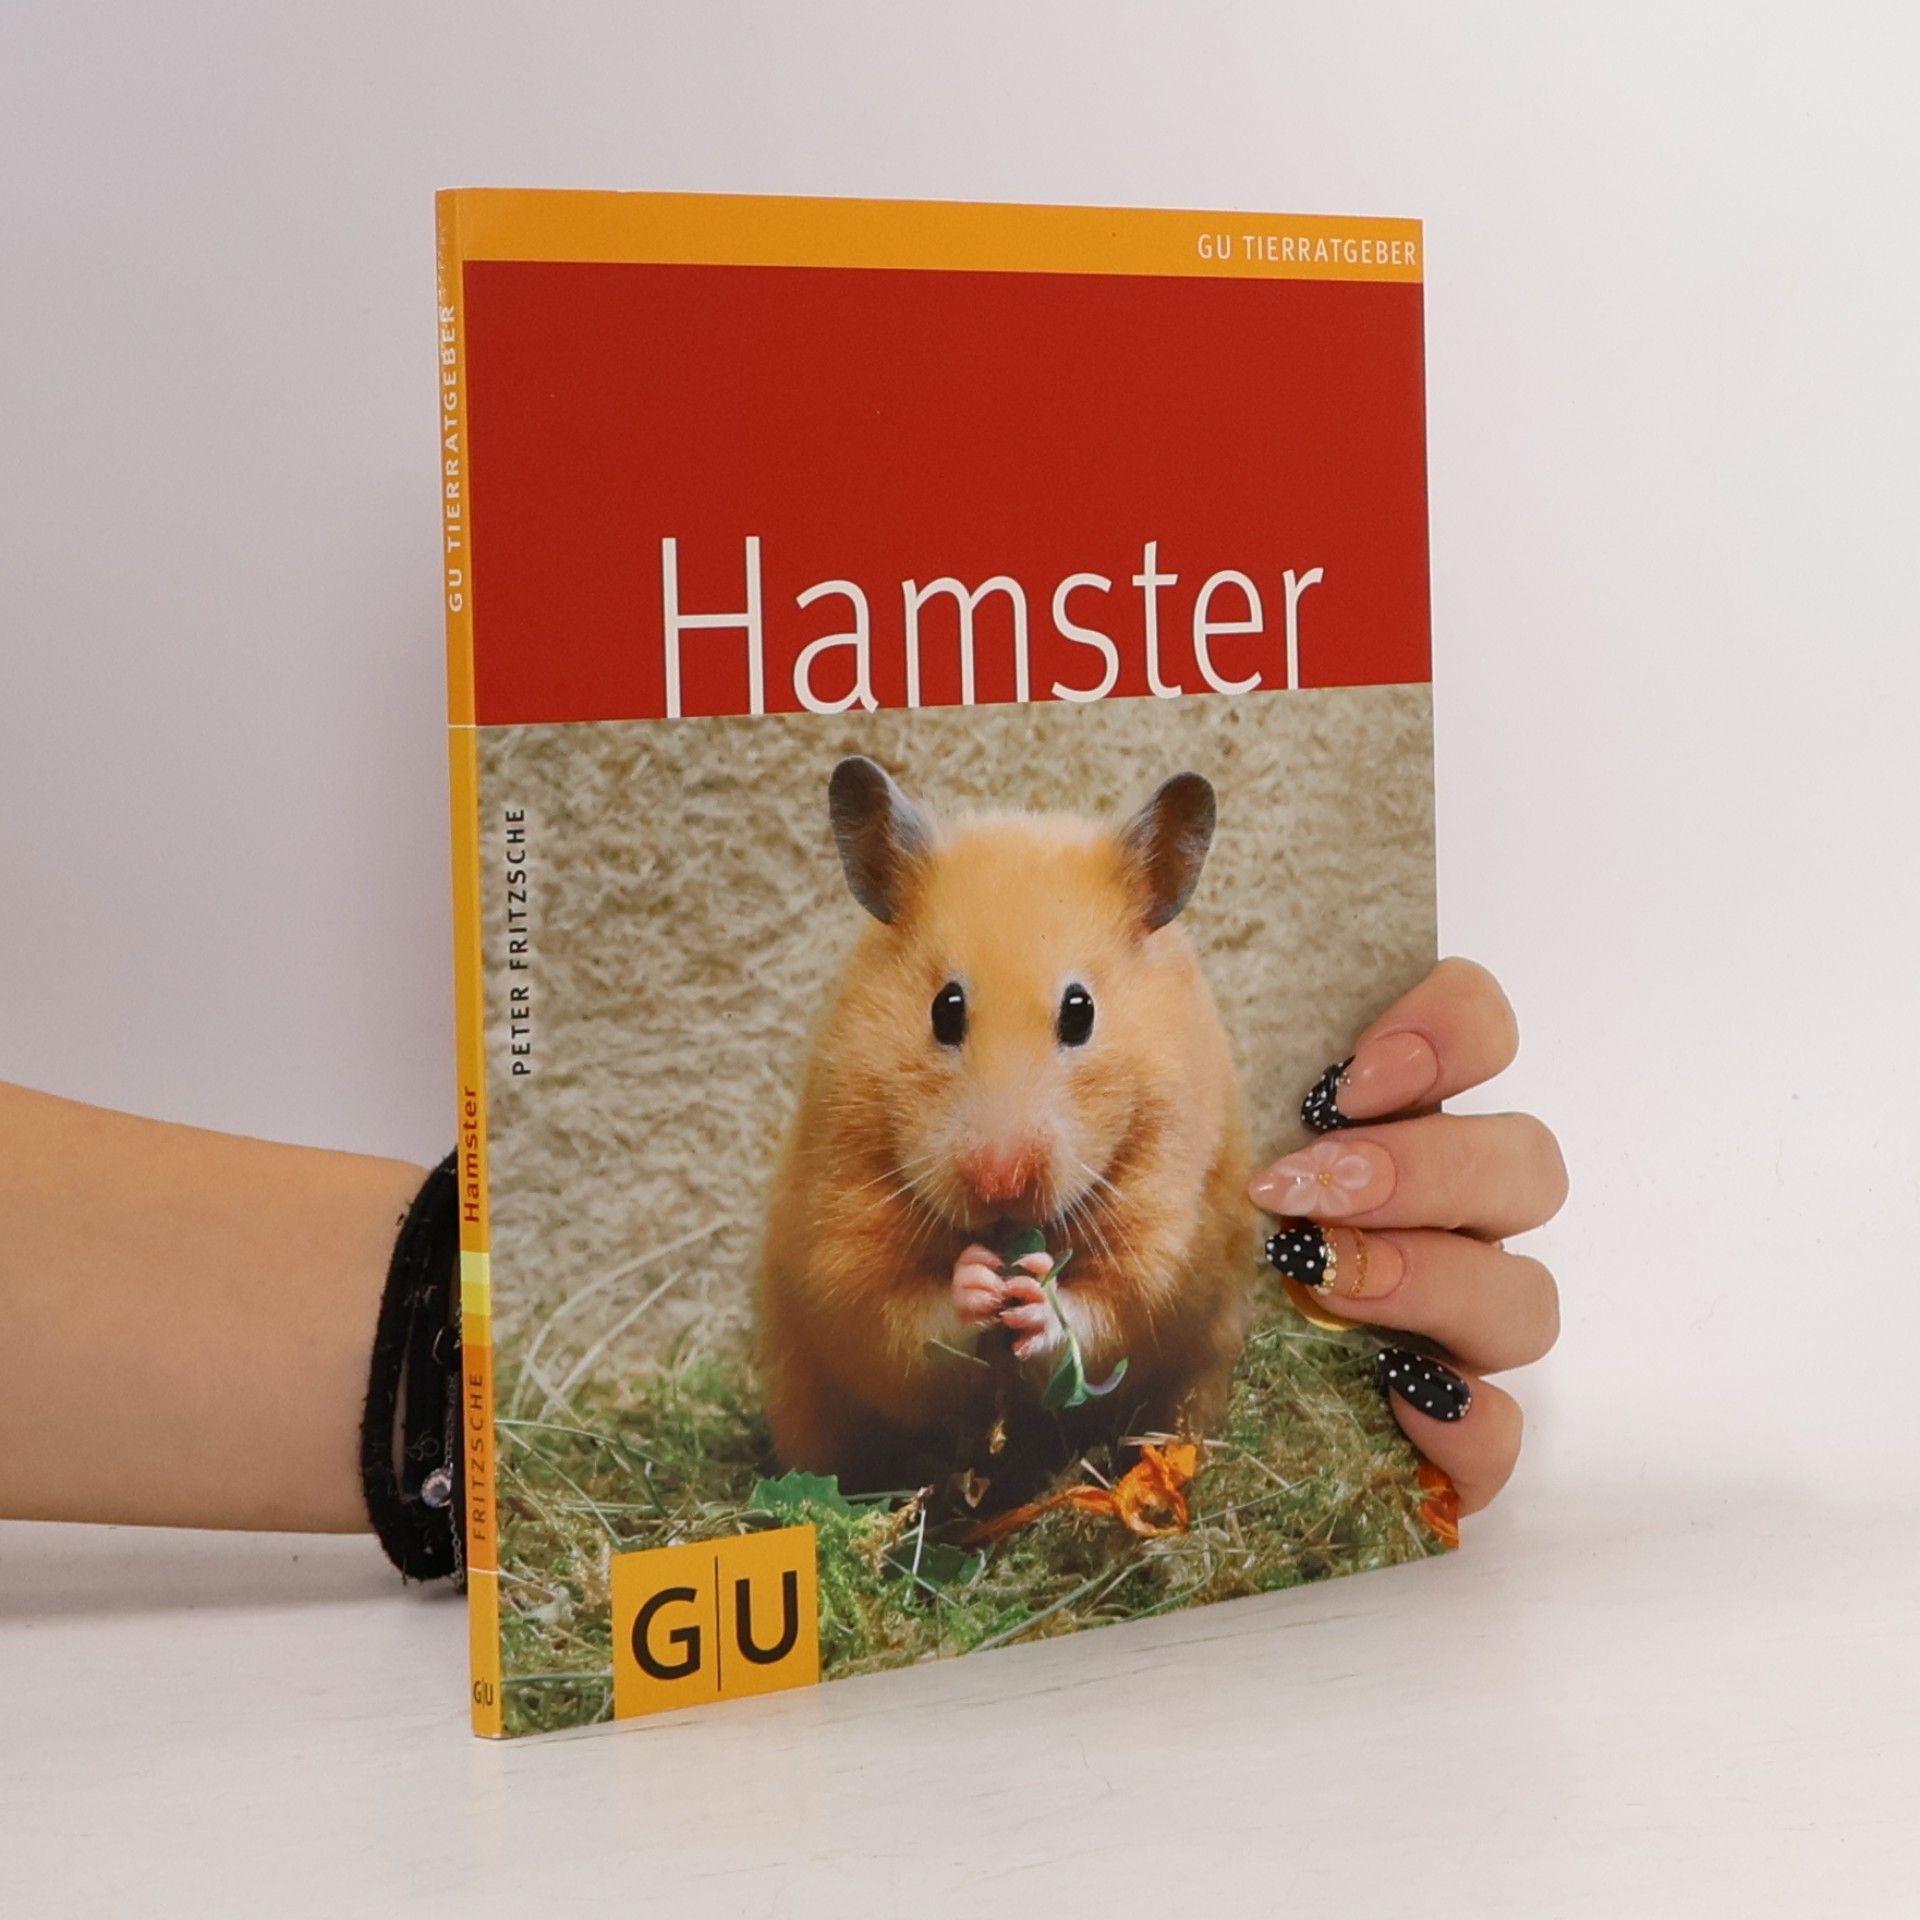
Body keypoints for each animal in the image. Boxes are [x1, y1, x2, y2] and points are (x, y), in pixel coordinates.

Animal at [755, 755, 1255, 1502]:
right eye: (945, 1007)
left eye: (1080, 1011)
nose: (1000, 1181)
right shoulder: (841, 1239)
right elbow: (903, 1317)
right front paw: (982, 1282)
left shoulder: (1168, 1232)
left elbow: (1107, 1309)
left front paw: (1030, 1292)